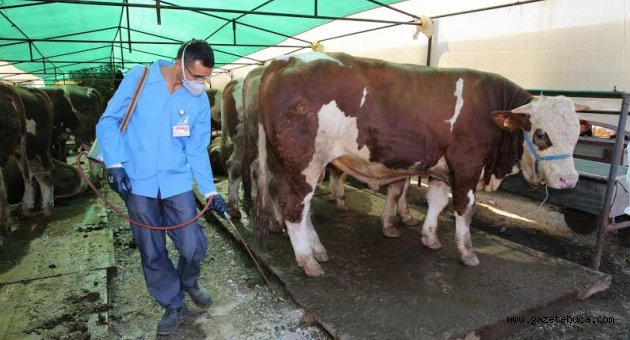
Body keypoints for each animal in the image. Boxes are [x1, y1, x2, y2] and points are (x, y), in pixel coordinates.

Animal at [258, 52, 584, 276]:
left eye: (577, 134)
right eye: (540, 133)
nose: (569, 181)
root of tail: (285, 60)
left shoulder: (442, 169)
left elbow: (437, 202)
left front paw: (429, 238)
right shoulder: (466, 165)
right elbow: (464, 211)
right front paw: (467, 254)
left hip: (290, 166)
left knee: (302, 210)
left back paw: (317, 250)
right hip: (304, 164)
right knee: (295, 209)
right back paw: (308, 261)